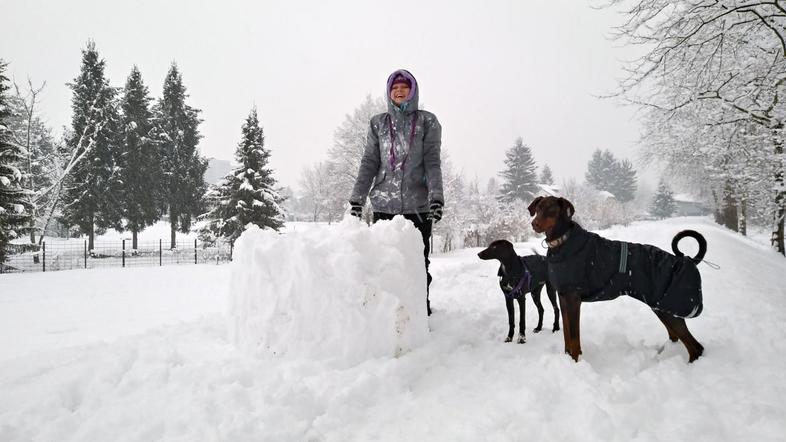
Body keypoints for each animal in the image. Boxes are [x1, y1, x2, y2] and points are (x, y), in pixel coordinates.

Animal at [528, 197, 704, 362]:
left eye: (551, 209)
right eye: (538, 208)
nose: (534, 223)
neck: (562, 242)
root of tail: (686, 261)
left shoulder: (573, 298)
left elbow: (574, 338)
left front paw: (575, 361)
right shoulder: (563, 297)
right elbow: (567, 335)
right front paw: (567, 359)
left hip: (670, 310)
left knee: (696, 348)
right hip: (661, 308)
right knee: (676, 337)